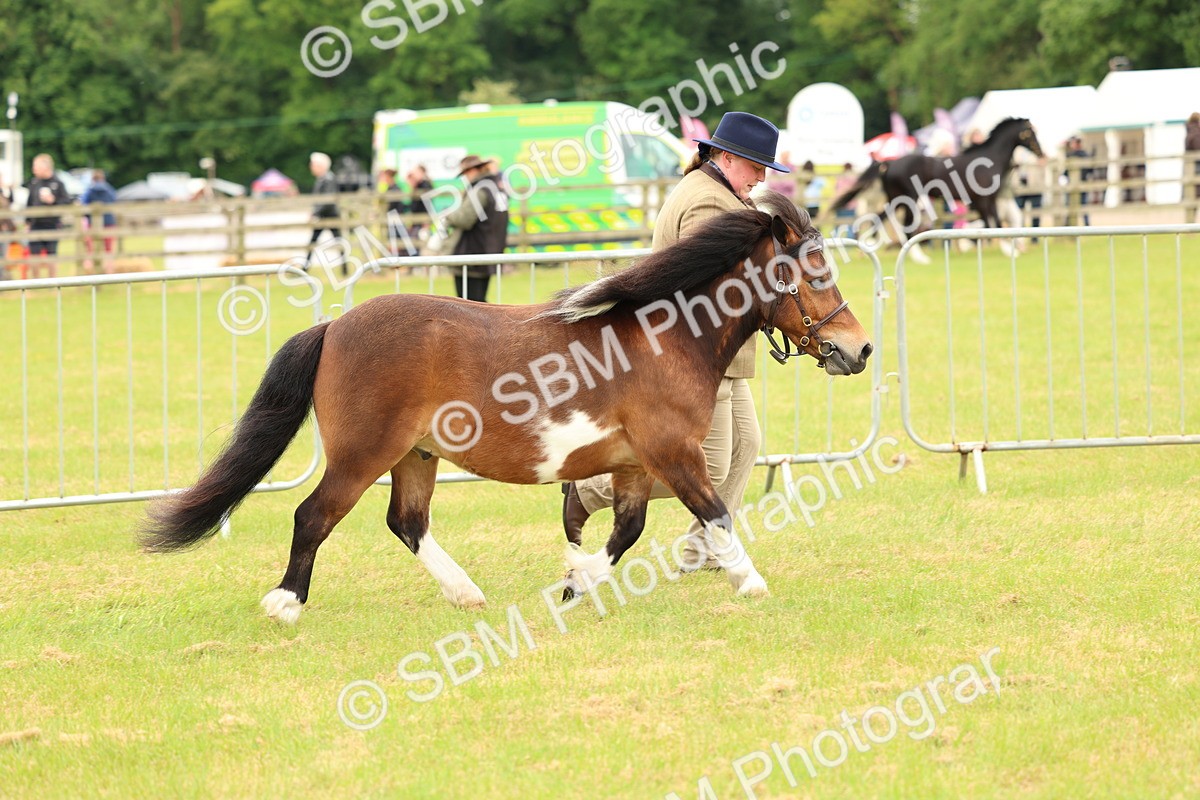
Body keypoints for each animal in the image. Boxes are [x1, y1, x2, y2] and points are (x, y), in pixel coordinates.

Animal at [140, 190, 873, 624]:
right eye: (811, 274)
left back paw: (465, 592)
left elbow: (626, 531)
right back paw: (286, 602)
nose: (858, 348)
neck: (664, 335)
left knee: (406, 522)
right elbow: (716, 512)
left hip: (417, 454)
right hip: (362, 454)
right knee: (313, 515)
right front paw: (749, 582)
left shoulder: (636, 465)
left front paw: (573, 582)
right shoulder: (672, 453)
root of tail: (335, 326)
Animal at [828, 118, 1043, 259]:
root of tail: (889, 163)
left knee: (881, 218)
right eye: (1030, 132)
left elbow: (988, 224)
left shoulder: (983, 202)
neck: (990, 159)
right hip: (909, 199)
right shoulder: (984, 200)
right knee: (905, 227)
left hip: (895, 198)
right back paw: (919, 257)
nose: (1041, 153)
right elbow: (993, 224)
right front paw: (1009, 250)